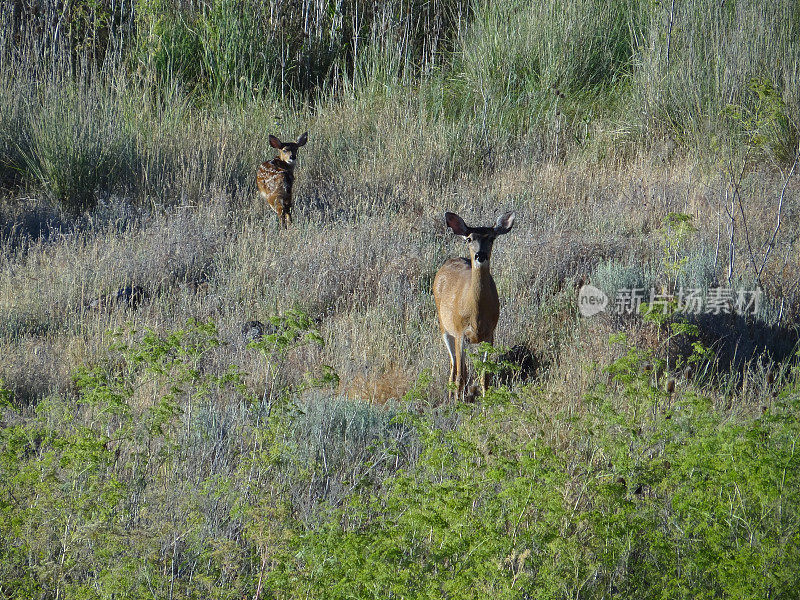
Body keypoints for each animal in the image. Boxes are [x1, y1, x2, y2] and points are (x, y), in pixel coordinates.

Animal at [434, 211, 516, 398]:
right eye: (469, 239)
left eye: (491, 238)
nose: (480, 255)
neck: (475, 314)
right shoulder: (460, 332)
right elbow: (460, 377)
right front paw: (458, 402)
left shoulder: (490, 334)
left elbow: (484, 376)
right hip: (444, 327)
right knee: (454, 367)